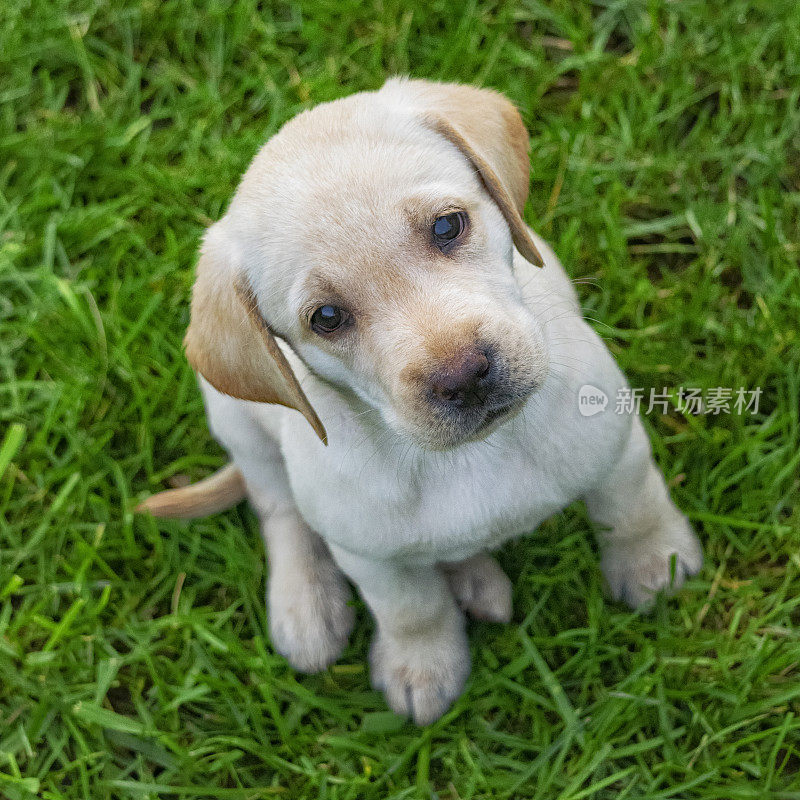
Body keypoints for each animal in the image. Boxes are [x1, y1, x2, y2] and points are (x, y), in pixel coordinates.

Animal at [141, 78, 704, 720]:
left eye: (446, 227)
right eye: (326, 318)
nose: (464, 376)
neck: (471, 455)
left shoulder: (613, 446)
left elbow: (632, 509)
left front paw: (655, 564)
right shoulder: (370, 556)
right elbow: (412, 608)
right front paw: (422, 666)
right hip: (238, 424)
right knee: (279, 510)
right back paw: (307, 604)